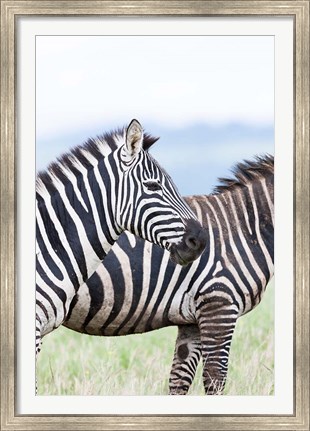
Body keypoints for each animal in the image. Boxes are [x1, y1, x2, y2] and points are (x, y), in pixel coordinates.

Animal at [63, 154, 274, 396]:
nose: (200, 243)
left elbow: (179, 380)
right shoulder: (219, 306)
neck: (246, 227)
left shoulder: (193, 320)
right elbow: (215, 378)